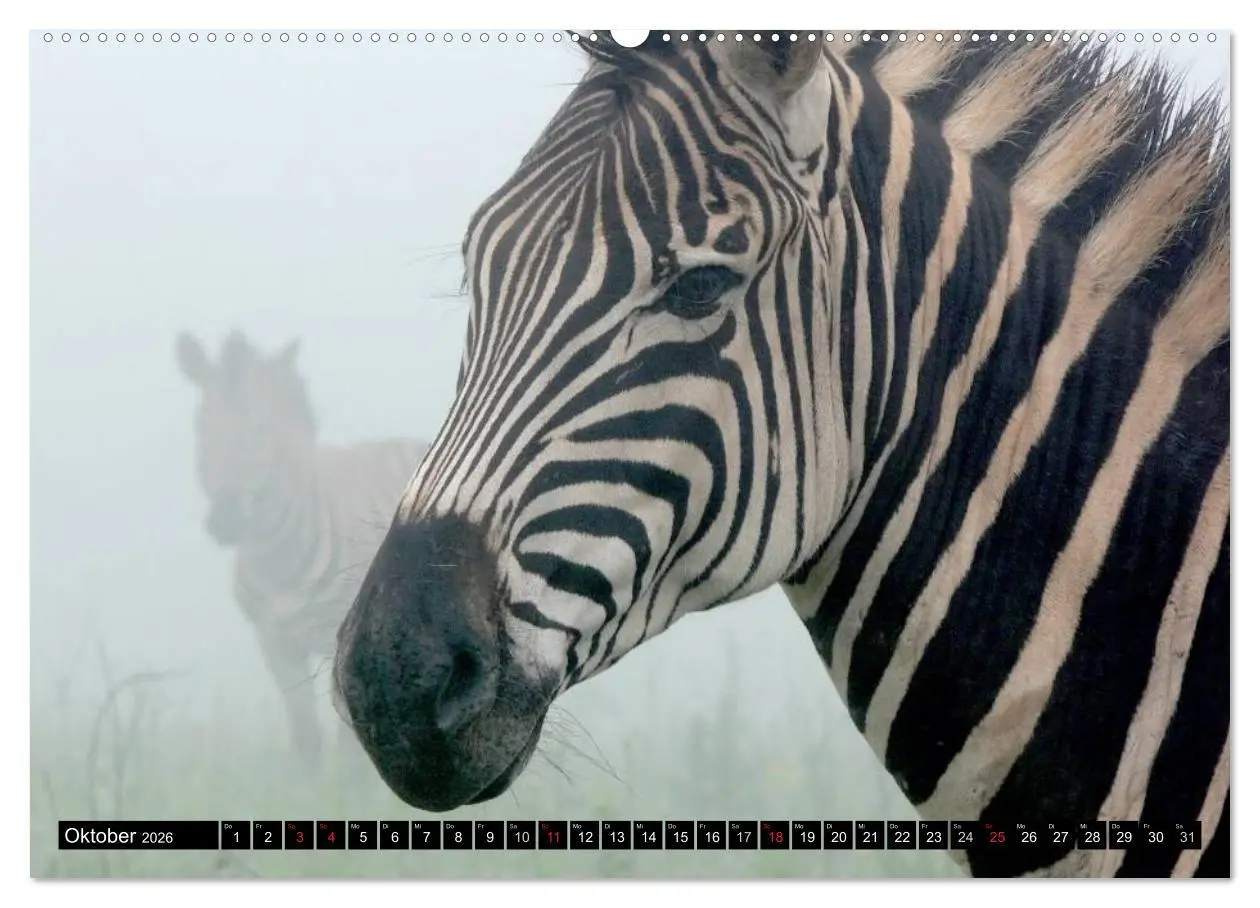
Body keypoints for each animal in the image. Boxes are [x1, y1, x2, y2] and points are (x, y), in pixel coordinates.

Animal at [177, 330, 428, 766]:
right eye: (200, 428)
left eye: (259, 431)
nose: (225, 522)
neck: (276, 560)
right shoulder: (274, 641)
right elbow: (307, 737)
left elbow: (349, 751)